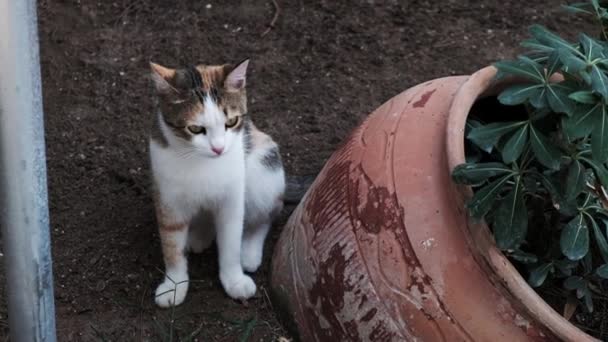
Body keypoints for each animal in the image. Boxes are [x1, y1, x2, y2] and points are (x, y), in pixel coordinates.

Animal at [147, 58, 284, 308]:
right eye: (195, 128)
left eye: (232, 121)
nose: (219, 148)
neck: (199, 161)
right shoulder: (167, 196)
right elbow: (171, 243)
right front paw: (174, 284)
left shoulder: (233, 197)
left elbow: (230, 239)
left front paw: (234, 280)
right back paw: (200, 235)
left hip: (263, 168)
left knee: (266, 215)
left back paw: (249, 250)